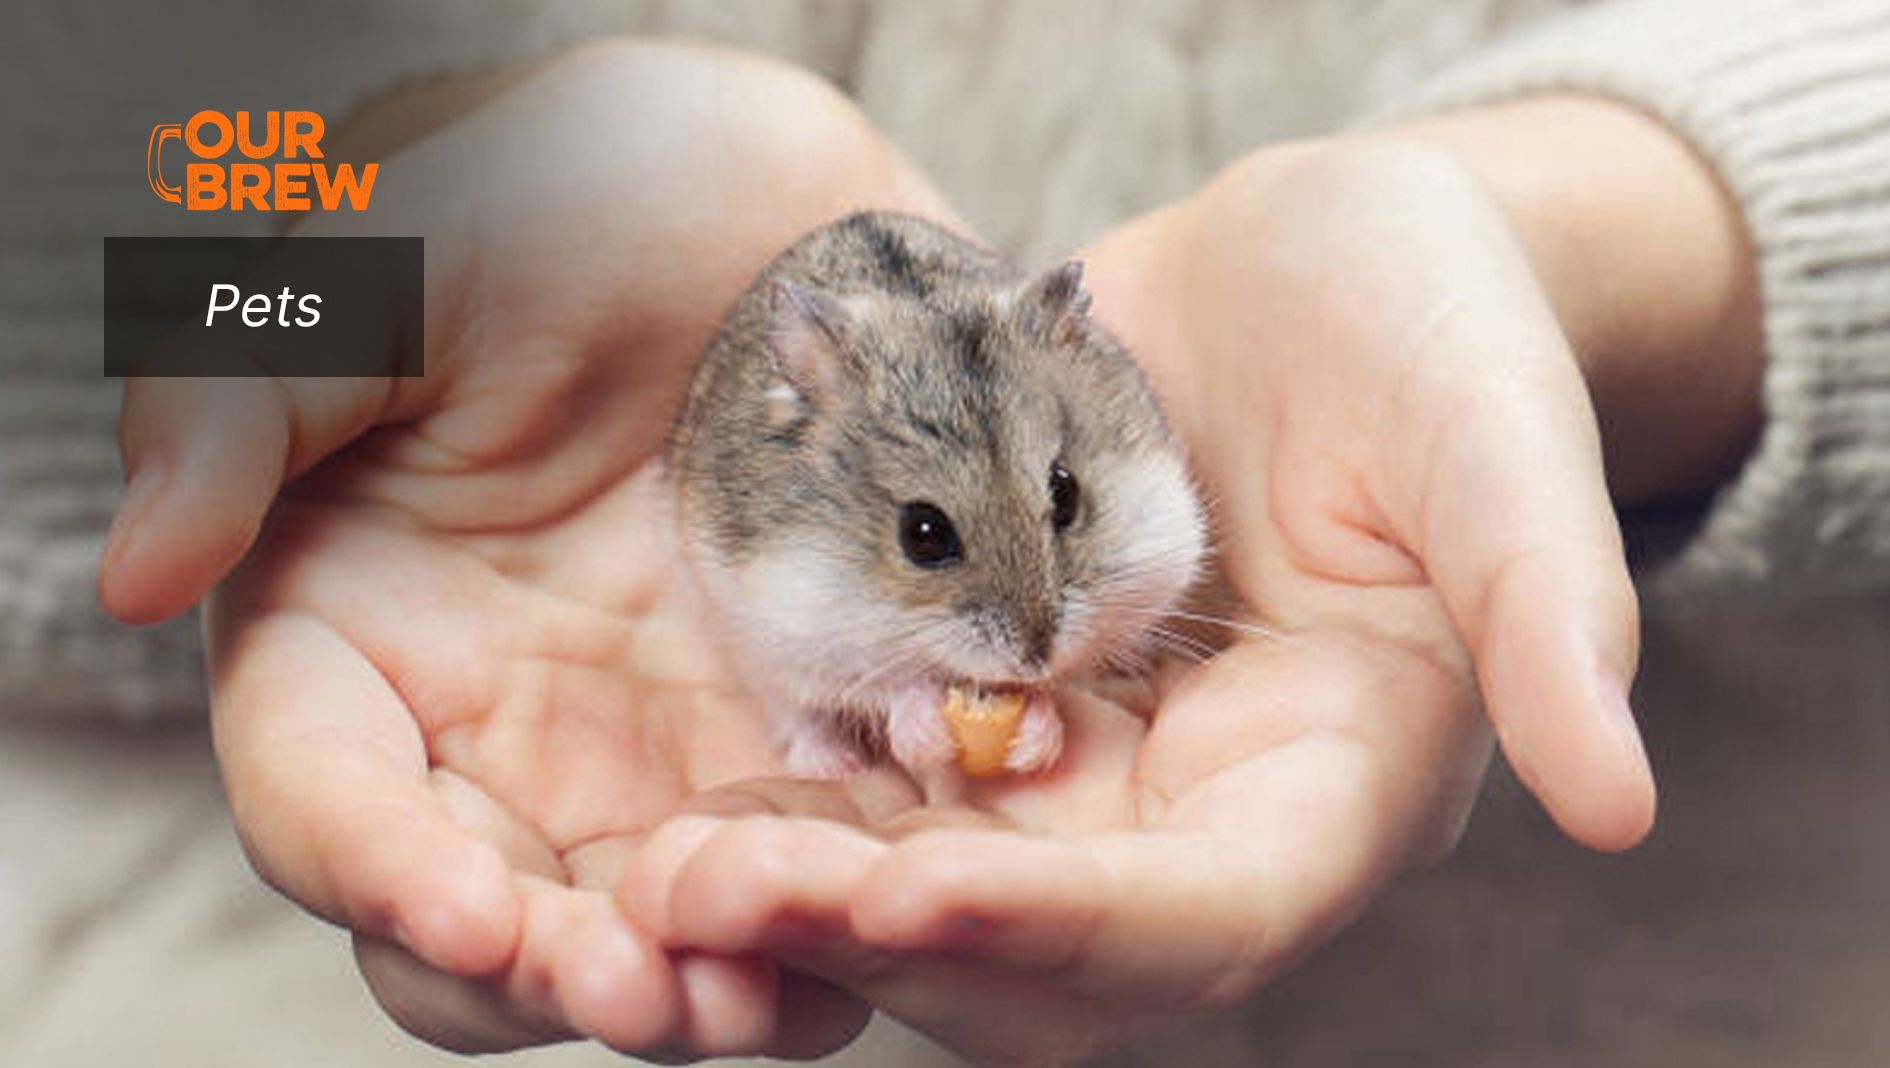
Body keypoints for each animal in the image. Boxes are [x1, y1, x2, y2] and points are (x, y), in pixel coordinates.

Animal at [668, 211, 1204, 778]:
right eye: (922, 534)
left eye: (1066, 493)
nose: (1034, 659)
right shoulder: (793, 634)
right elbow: (886, 690)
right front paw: (923, 733)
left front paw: (1036, 734)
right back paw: (834, 765)